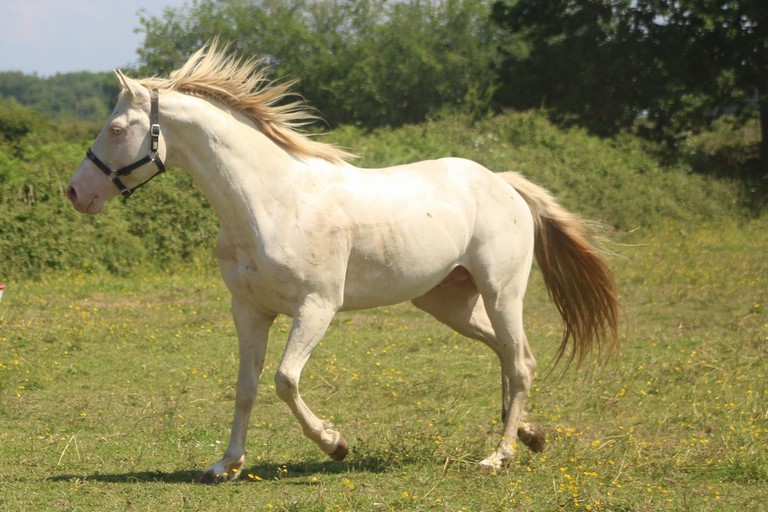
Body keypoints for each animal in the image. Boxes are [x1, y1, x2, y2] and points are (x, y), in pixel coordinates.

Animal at [66, 43, 619, 482]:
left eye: (117, 128)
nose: (74, 193)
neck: (271, 203)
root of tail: (503, 183)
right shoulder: (249, 311)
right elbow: (246, 387)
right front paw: (226, 465)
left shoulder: (317, 307)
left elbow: (285, 380)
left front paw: (335, 444)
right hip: (448, 302)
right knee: (510, 355)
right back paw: (529, 434)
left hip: (502, 291)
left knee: (520, 361)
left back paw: (498, 456)